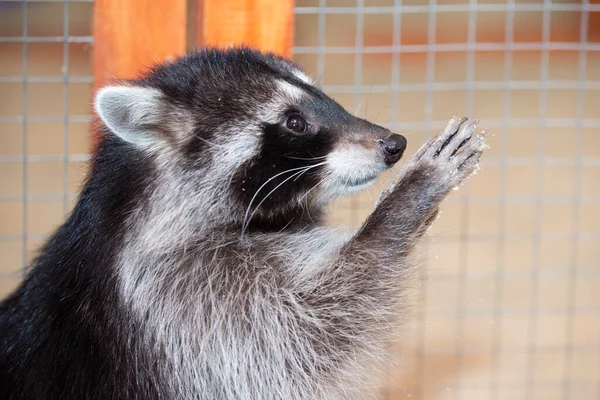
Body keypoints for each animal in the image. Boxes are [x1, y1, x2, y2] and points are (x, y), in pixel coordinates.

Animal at [0, 48, 488, 398]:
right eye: (295, 122)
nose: (394, 144)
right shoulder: (178, 299)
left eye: (323, 97)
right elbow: (313, 329)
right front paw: (402, 208)